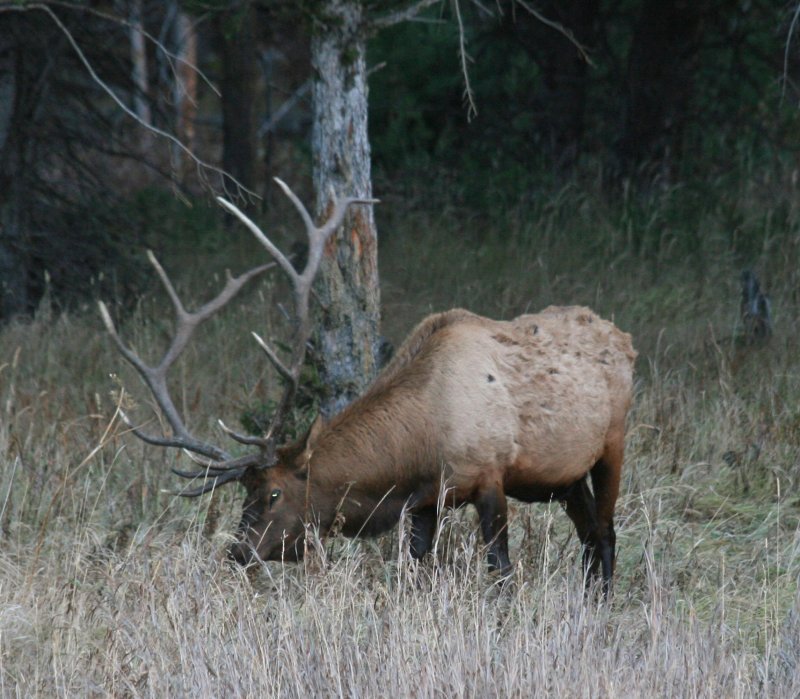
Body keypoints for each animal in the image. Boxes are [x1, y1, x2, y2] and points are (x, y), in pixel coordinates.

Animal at [101, 182, 636, 596]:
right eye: (244, 494)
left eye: (273, 493)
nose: (237, 550)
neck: (420, 447)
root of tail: (624, 338)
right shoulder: (425, 501)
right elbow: (416, 569)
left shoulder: (488, 475)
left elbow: (500, 571)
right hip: (565, 475)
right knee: (589, 534)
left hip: (613, 442)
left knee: (606, 533)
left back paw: (603, 606)